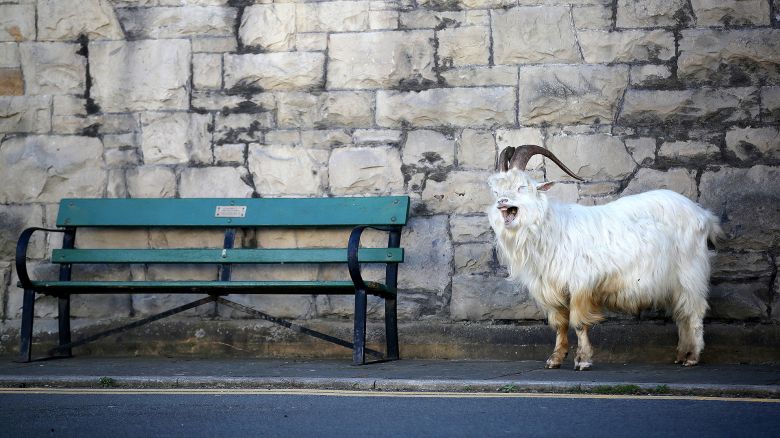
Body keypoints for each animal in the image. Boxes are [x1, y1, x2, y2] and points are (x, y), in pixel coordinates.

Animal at [490, 146, 724, 370]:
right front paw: (555, 359)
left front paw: (582, 360)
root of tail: (704, 216)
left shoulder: (580, 284)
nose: (502, 201)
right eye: (495, 191)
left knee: (694, 311)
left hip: (690, 271)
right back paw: (681, 355)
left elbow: (578, 323)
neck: (550, 228)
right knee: (682, 313)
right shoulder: (551, 290)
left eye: (522, 187)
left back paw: (692, 357)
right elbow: (560, 325)